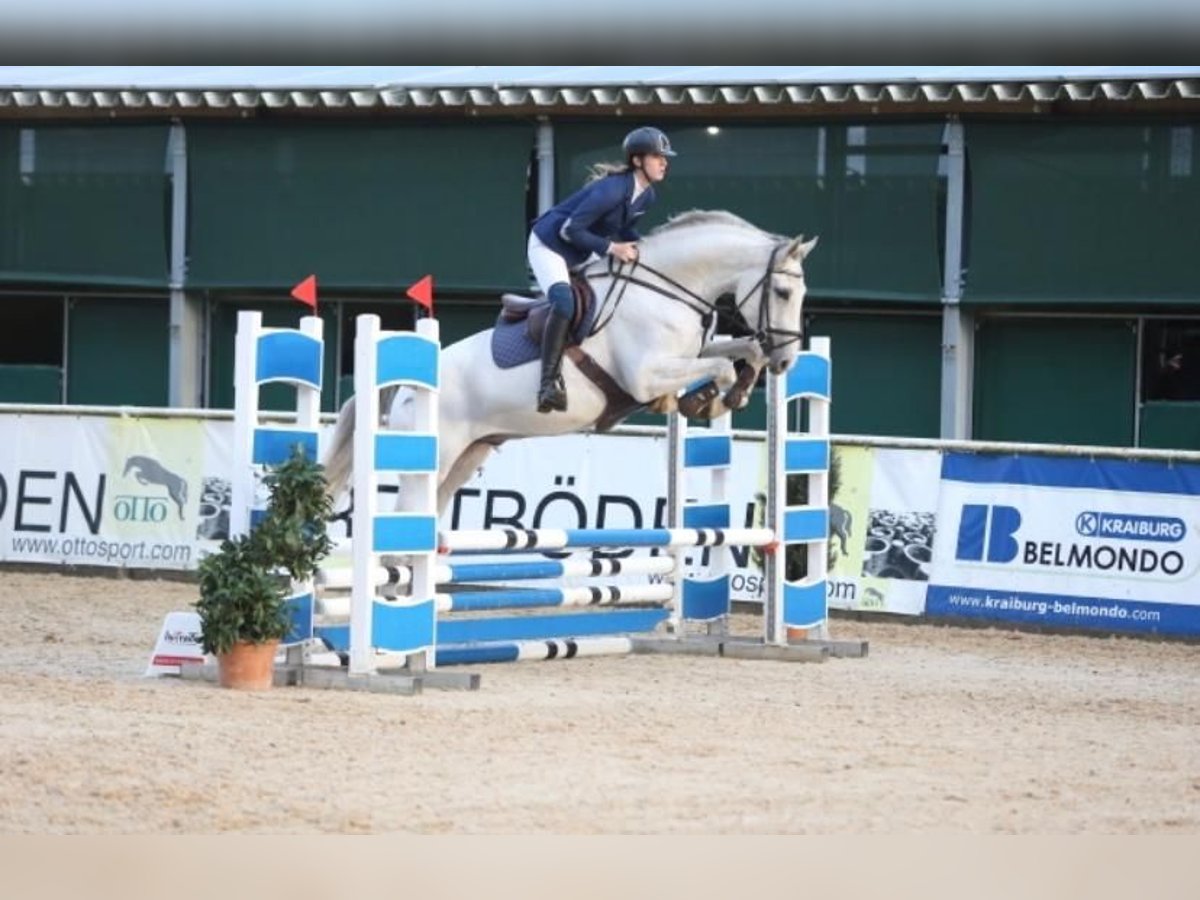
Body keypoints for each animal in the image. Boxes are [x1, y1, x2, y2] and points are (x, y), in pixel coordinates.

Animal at [324, 210, 820, 513]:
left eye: (802, 295)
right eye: (782, 292)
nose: (786, 360)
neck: (668, 288)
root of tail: (404, 390)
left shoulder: (688, 353)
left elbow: (741, 351)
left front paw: (736, 388)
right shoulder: (646, 374)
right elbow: (716, 368)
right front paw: (708, 401)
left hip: (468, 455)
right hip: (433, 458)